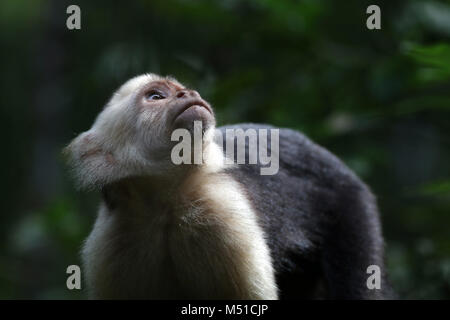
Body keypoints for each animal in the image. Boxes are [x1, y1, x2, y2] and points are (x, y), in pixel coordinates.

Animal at [65, 73, 392, 300]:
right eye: (156, 95)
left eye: (181, 88)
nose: (189, 93)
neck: (162, 203)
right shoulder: (115, 242)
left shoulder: (220, 210)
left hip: (350, 203)